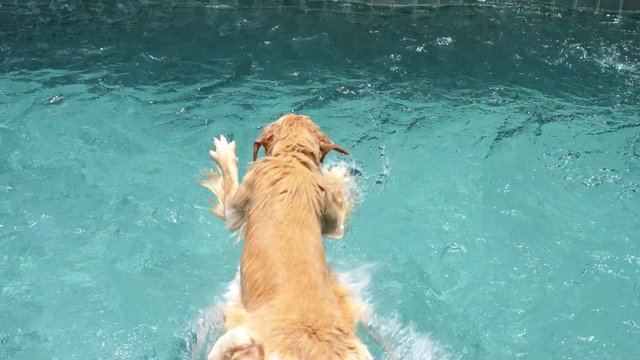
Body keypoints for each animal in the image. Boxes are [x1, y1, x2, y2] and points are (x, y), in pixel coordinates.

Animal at [199, 114, 370, 358]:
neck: (292, 159)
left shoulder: (235, 207)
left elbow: (229, 182)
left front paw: (223, 152)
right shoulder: (332, 219)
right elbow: (338, 219)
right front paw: (339, 177)